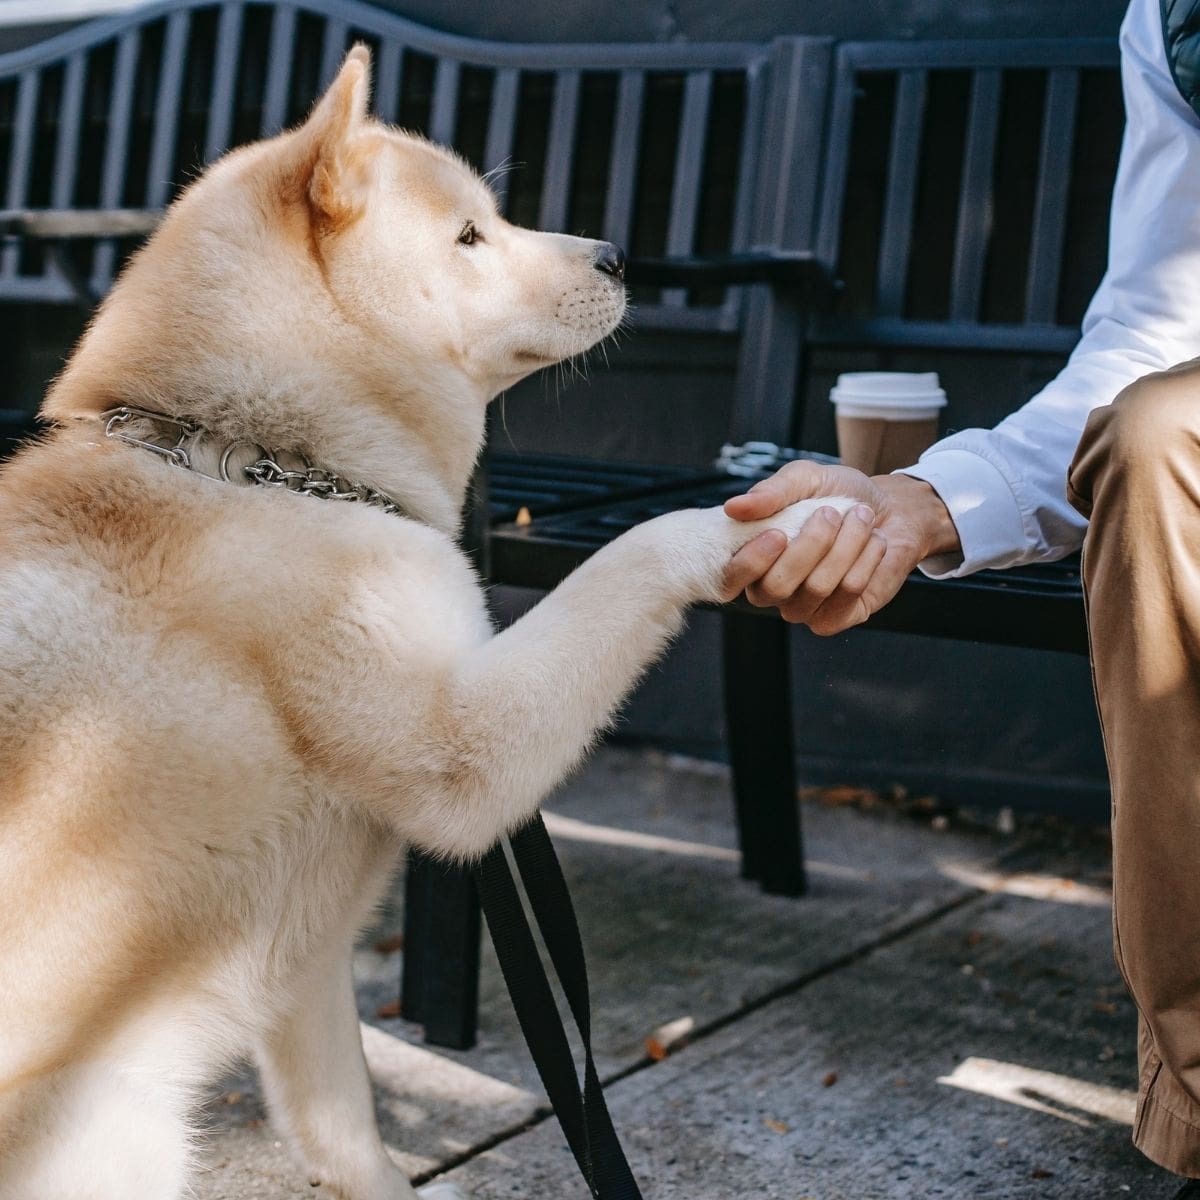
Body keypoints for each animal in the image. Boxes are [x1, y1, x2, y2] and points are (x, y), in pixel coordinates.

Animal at [0, 44, 849, 1200]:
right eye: (469, 236)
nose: (620, 253)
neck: (261, 467)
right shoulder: (466, 756)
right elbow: (637, 551)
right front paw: (793, 514)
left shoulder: (306, 972)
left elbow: (347, 1134)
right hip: (118, 1127)